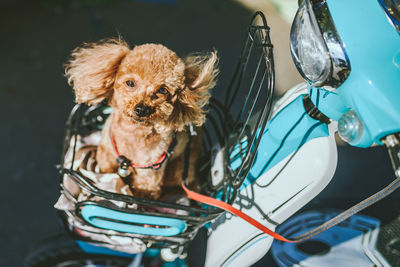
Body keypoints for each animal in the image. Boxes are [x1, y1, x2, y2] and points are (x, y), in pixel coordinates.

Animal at [64, 38, 219, 201]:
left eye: (163, 90)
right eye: (130, 83)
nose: (141, 109)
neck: (133, 134)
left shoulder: (148, 178)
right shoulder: (106, 160)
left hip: (181, 169)